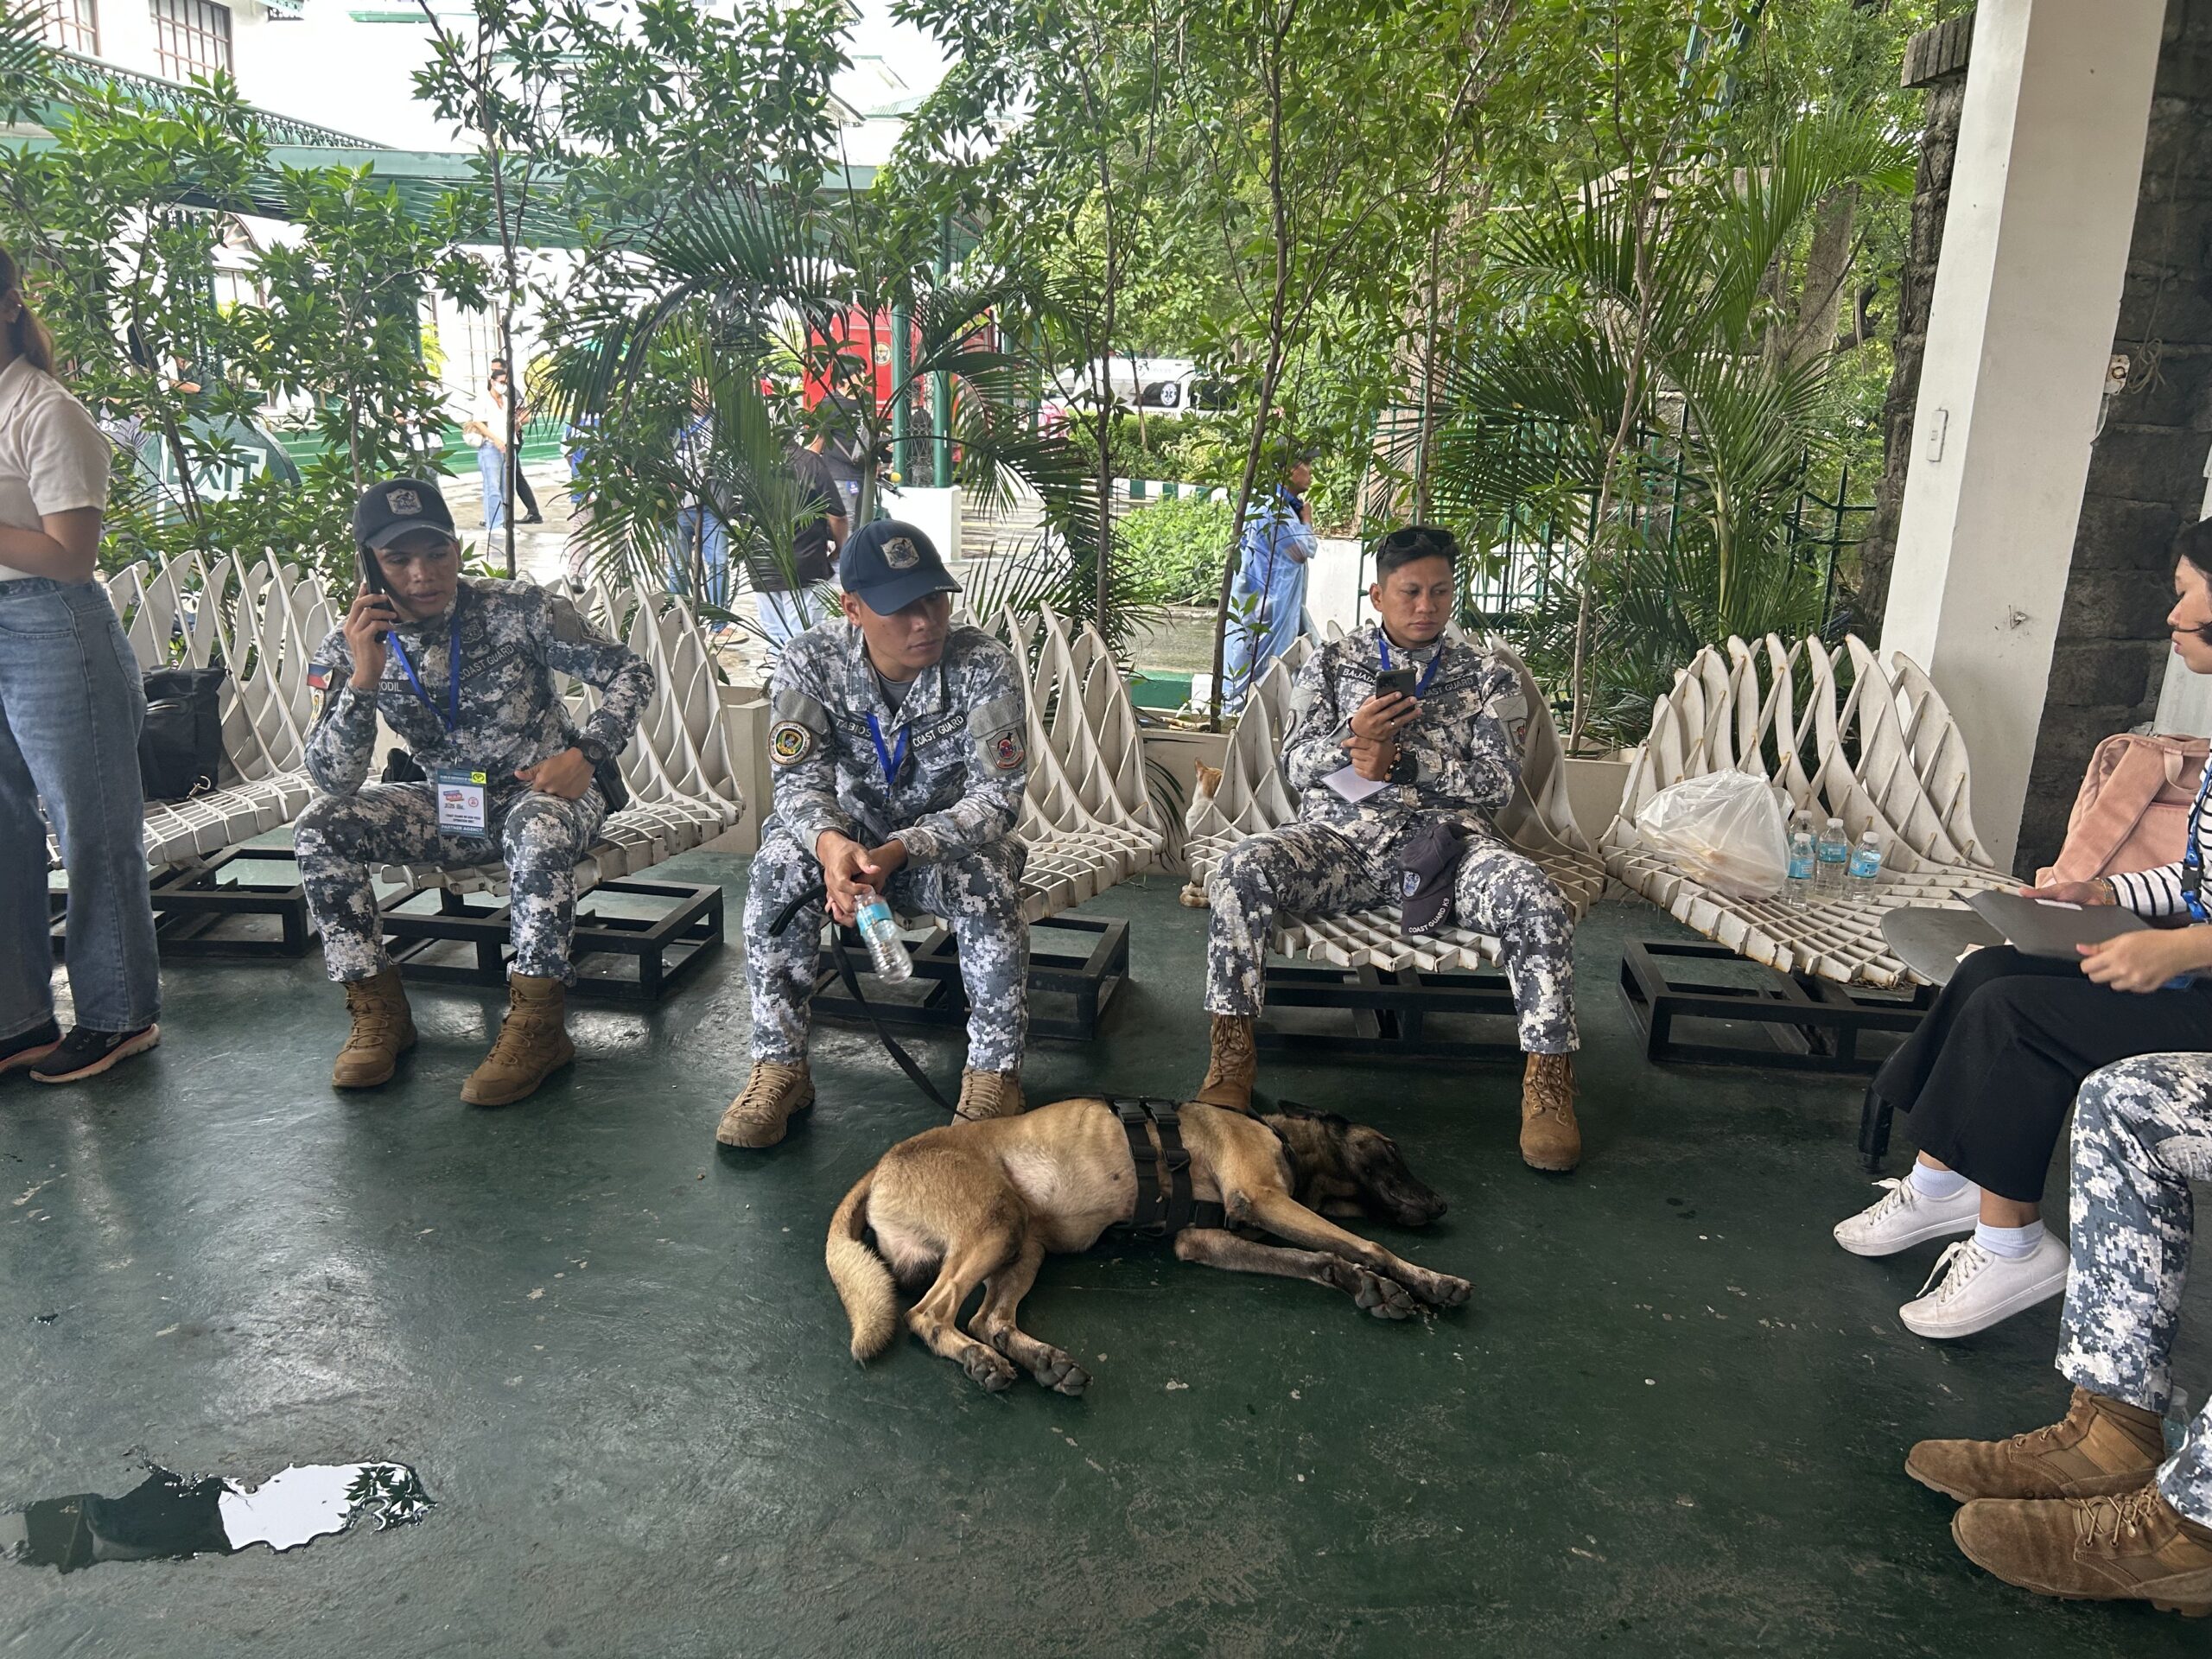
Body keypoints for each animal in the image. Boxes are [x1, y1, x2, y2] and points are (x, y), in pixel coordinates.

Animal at [827, 1106, 1468, 1407]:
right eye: (1391, 1149)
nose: (1441, 1204)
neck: (1283, 1139)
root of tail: (881, 1165)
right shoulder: (1262, 1197)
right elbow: (1368, 1244)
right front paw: (1424, 1278)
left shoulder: (1207, 1240)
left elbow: (1322, 1259)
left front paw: (1368, 1284)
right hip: (997, 1223)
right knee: (930, 1315)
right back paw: (978, 1360)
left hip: (1024, 1244)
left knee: (990, 1319)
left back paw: (1044, 1362)